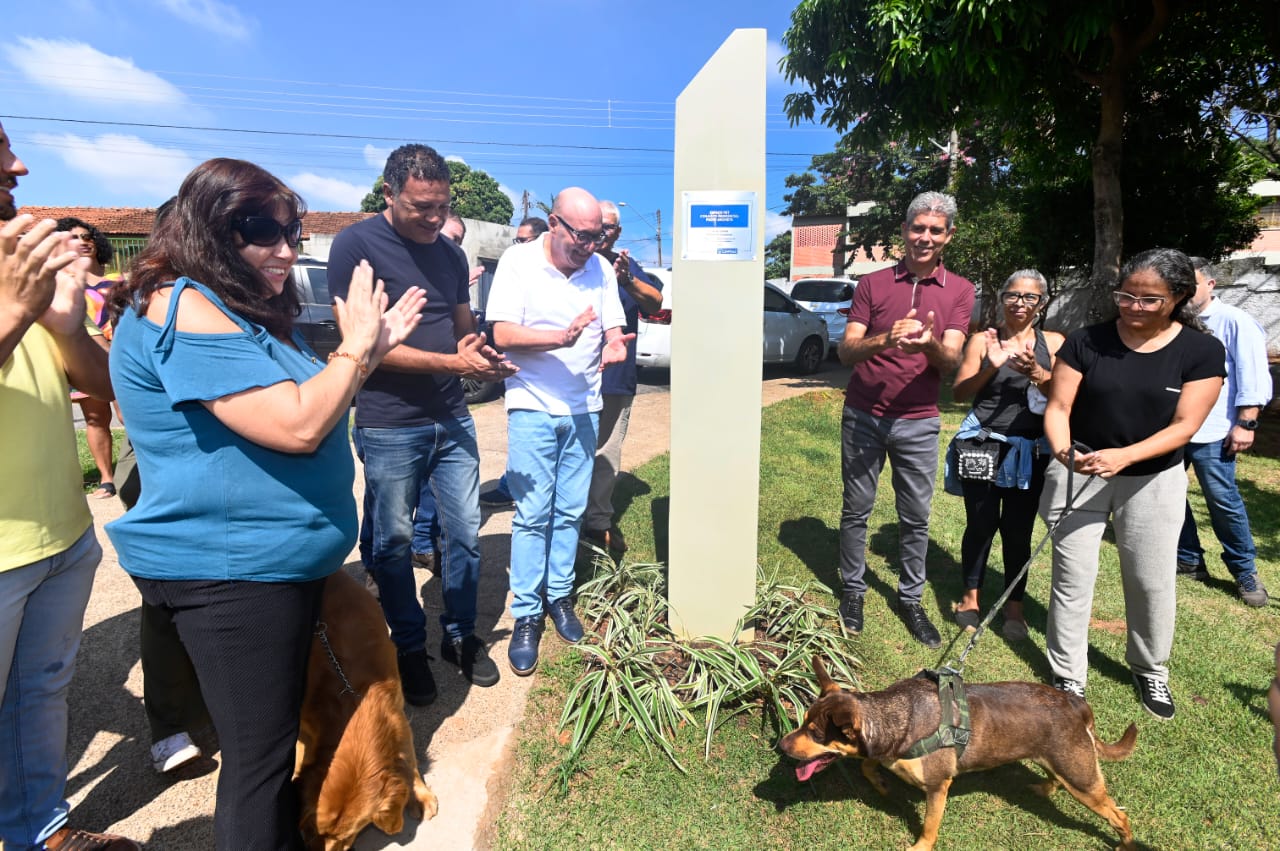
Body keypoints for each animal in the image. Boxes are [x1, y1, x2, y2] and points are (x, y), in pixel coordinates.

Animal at [295, 568, 440, 844]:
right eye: (315, 830)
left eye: (347, 835)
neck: (353, 704)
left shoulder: (397, 714)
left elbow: (410, 759)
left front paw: (419, 794)